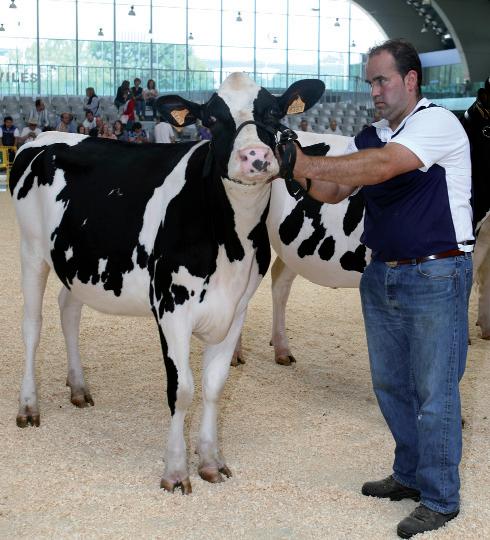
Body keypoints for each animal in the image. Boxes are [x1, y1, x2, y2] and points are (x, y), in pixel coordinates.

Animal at [9, 72, 325, 493]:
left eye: (273, 112)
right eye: (211, 119)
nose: (255, 157)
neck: (230, 243)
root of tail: (41, 138)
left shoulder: (236, 308)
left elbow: (214, 385)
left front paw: (210, 461)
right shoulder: (171, 307)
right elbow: (183, 388)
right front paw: (176, 470)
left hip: (79, 262)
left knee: (68, 310)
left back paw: (78, 387)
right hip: (31, 250)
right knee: (31, 326)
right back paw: (28, 406)